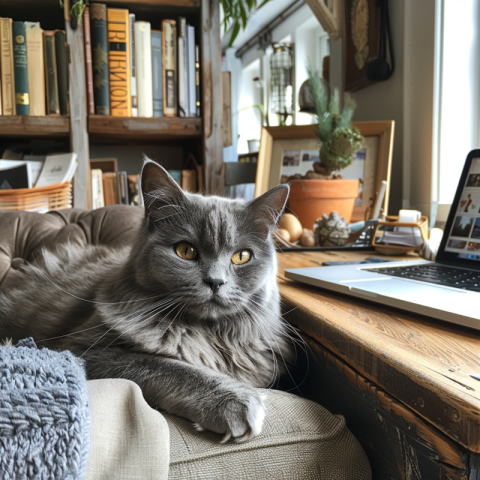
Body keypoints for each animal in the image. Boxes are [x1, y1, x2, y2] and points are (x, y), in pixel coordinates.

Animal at [0, 161, 292, 442]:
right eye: (186, 251)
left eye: (241, 257)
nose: (215, 282)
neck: (205, 333)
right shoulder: (85, 351)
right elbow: (171, 367)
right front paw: (235, 401)